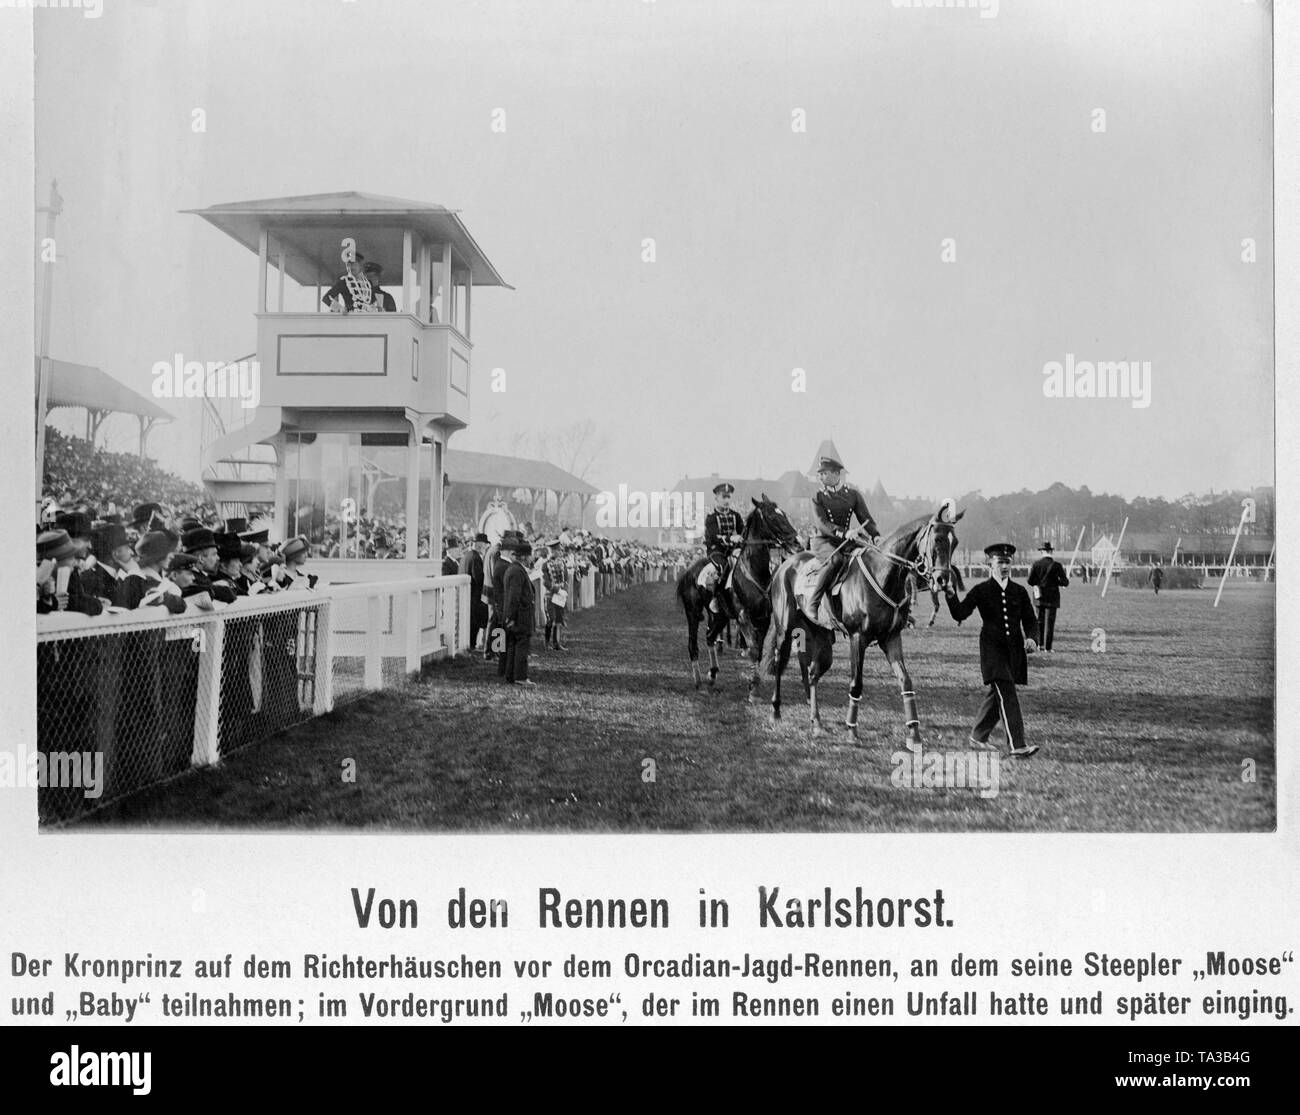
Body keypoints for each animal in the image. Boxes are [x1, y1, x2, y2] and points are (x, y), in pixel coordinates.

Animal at [681, 496, 800, 696]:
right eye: (772, 517)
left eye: (783, 514)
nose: (796, 542)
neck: (754, 571)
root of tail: (689, 572)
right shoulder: (743, 617)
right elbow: (752, 649)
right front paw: (753, 688)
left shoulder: (763, 619)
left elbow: (758, 651)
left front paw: (754, 685)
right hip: (693, 613)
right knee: (692, 645)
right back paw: (698, 681)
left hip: (719, 616)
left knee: (710, 637)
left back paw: (712, 674)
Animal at [759, 499, 967, 743]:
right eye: (937, 539)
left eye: (955, 543)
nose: (943, 580)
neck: (883, 574)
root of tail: (785, 564)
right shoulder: (858, 638)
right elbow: (856, 684)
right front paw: (851, 729)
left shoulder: (891, 638)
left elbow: (905, 681)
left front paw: (914, 731)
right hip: (785, 629)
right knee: (780, 660)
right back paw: (776, 710)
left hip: (821, 637)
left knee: (812, 673)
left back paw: (816, 721)